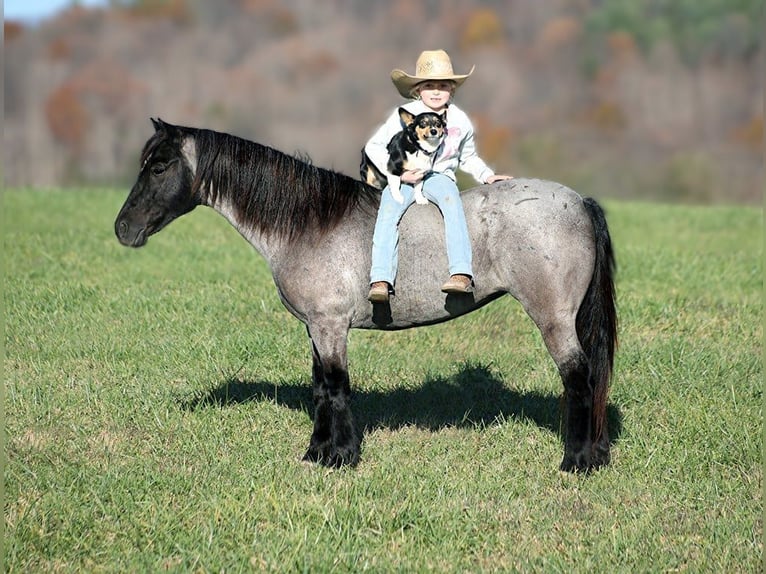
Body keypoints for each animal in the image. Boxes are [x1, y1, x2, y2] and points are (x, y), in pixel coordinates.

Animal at [114, 119, 616, 474]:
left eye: (158, 167)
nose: (123, 229)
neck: (309, 223)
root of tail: (579, 201)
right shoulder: (316, 328)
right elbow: (320, 387)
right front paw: (318, 453)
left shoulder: (331, 325)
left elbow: (336, 387)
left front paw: (340, 457)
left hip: (553, 318)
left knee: (579, 378)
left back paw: (576, 462)